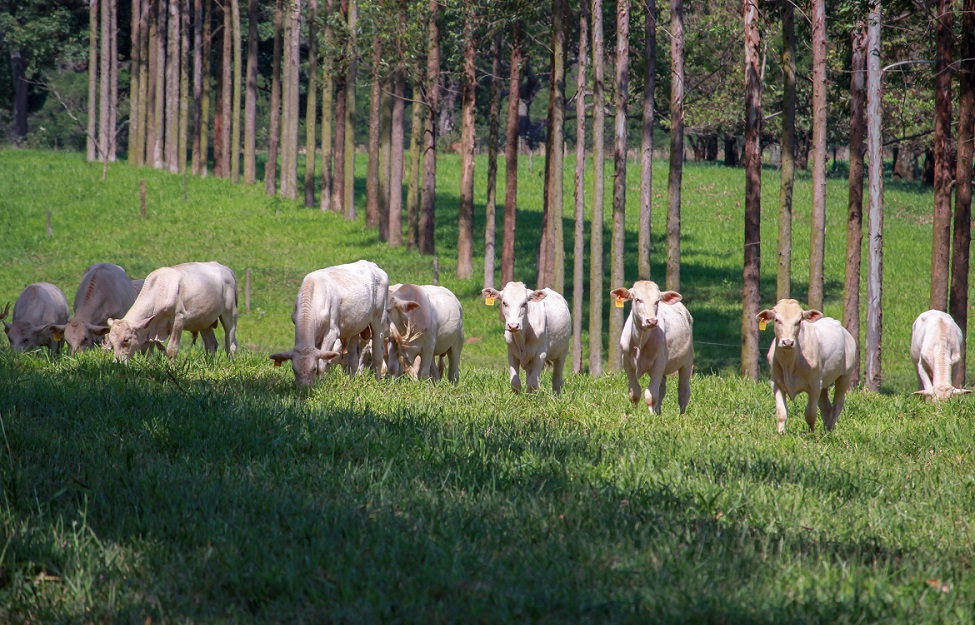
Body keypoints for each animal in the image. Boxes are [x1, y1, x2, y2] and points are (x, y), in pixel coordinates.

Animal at [268, 258, 390, 386]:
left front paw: (319, 384)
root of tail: (371, 264)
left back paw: (377, 382)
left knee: (377, 355)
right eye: (294, 369)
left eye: (313, 369)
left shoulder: (332, 333)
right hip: (354, 327)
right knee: (353, 359)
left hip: (379, 319)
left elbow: (322, 363)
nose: (303, 388)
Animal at [608, 280, 692, 412]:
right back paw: (658, 412)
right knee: (662, 388)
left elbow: (651, 395)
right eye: (637, 299)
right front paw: (634, 413)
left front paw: (650, 415)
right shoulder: (626, 361)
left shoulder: (659, 362)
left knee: (683, 391)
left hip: (687, 361)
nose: (652, 321)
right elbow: (635, 393)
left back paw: (681, 414)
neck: (640, 342)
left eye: (657, 301)